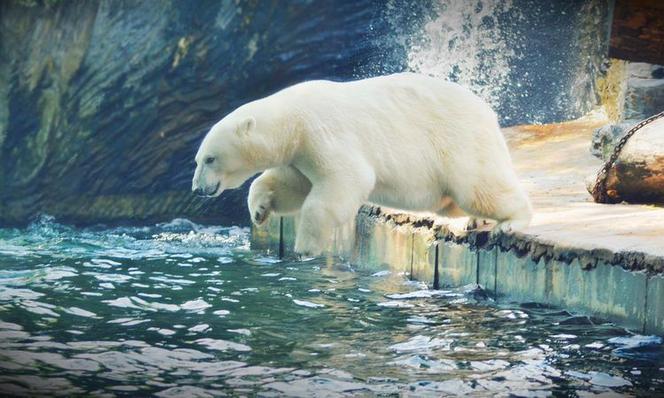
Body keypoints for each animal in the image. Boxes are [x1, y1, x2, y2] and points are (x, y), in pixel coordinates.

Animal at [192, 72, 536, 253]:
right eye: (198, 159)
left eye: (209, 158)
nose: (197, 189)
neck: (292, 121)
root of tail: (486, 111)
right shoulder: (300, 151)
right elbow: (291, 184)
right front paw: (260, 210)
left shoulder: (323, 133)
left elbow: (343, 182)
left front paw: (305, 248)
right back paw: (471, 220)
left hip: (458, 142)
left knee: (479, 186)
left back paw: (511, 221)